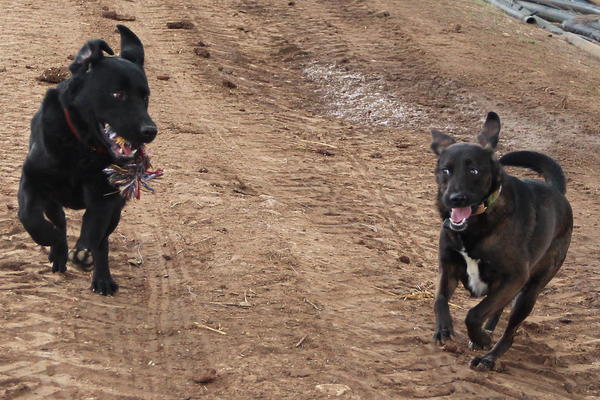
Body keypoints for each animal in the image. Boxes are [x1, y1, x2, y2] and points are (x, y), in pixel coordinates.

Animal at [17, 25, 156, 294]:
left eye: (145, 97)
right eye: (118, 94)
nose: (150, 131)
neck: (82, 147)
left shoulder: (104, 195)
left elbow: (93, 228)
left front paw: (84, 255)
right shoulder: (33, 178)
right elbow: (30, 217)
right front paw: (52, 240)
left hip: (116, 210)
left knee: (103, 239)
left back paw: (100, 276)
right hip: (52, 200)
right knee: (59, 220)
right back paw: (58, 253)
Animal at [432, 111, 572, 368]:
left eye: (474, 171)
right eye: (445, 170)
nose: (454, 198)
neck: (475, 226)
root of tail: (557, 191)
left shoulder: (515, 277)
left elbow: (473, 314)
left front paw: (481, 340)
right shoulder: (448, 267)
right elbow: (440, 299)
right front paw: (444, 329)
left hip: (530, 292)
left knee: (510, 332)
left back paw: (489, 356)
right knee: (497, 311)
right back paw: (488, 331)